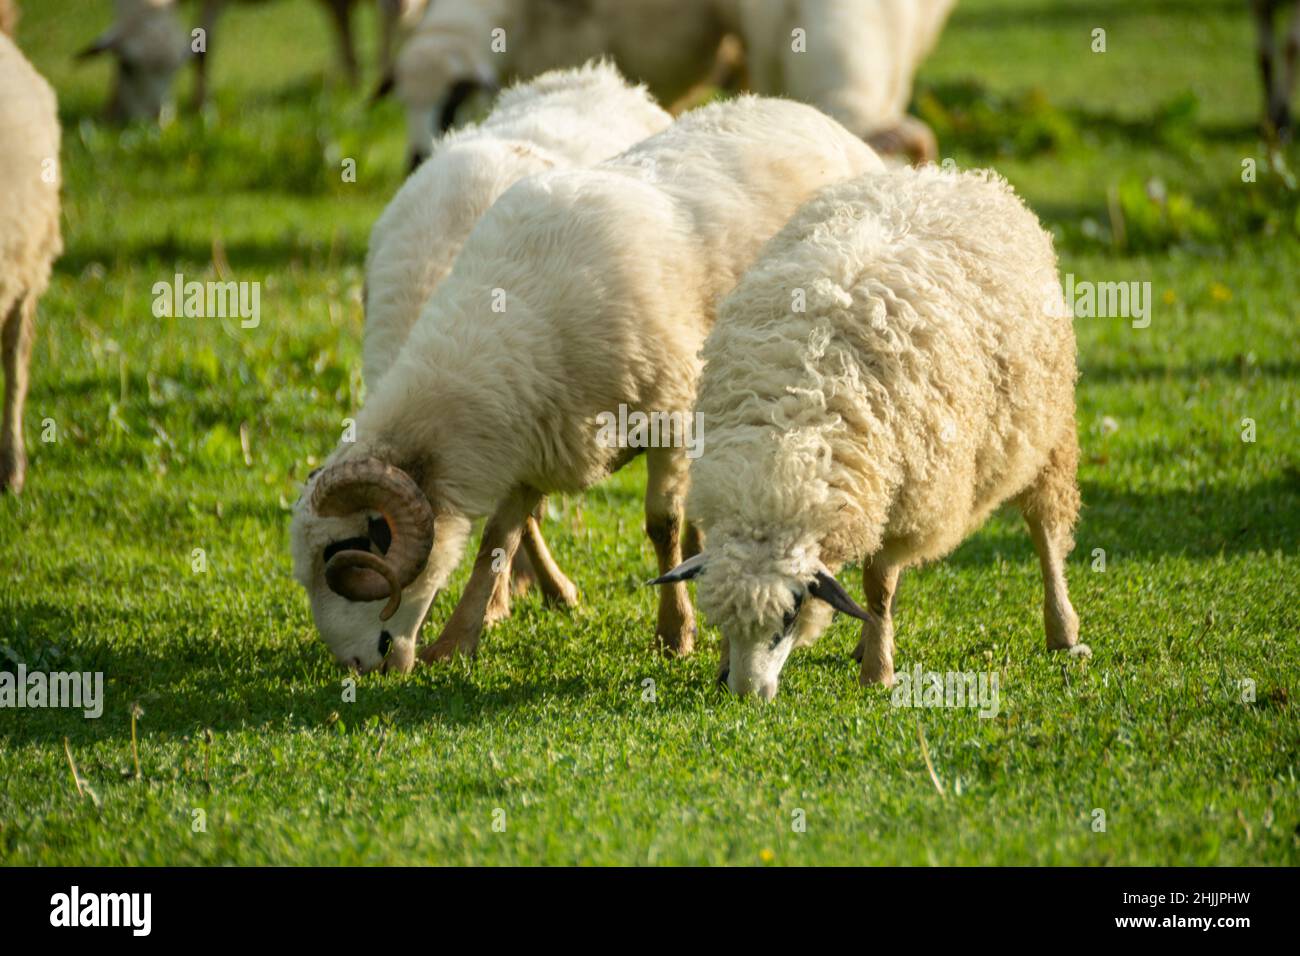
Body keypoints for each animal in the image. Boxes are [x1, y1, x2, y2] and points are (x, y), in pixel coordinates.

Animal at [652, 164, 1086, 700]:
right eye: (723, 619)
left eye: (790, 615)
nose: (748, 694)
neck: (786, 450)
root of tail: (952, 175)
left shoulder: (908, 499)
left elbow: (879, 587)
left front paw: (878, 671)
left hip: (1046, 430)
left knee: (1046, 530)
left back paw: (1062, 630)